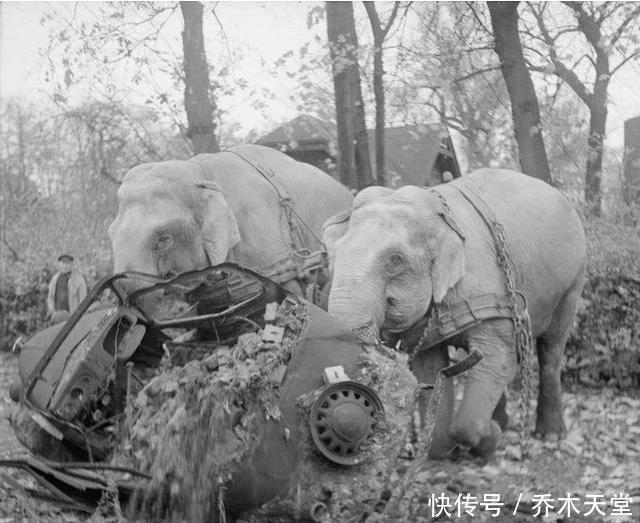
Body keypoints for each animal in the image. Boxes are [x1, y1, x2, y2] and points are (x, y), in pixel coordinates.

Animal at [322, 170, 588, 460]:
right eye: (333, 255)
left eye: (395, 260)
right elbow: (431, 368)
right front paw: (447, 448)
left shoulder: (492, 293)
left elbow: (498, 356)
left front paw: (489, 438)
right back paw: (503, 421)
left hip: (572, 281)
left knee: (551, 348)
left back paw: (549, 435)